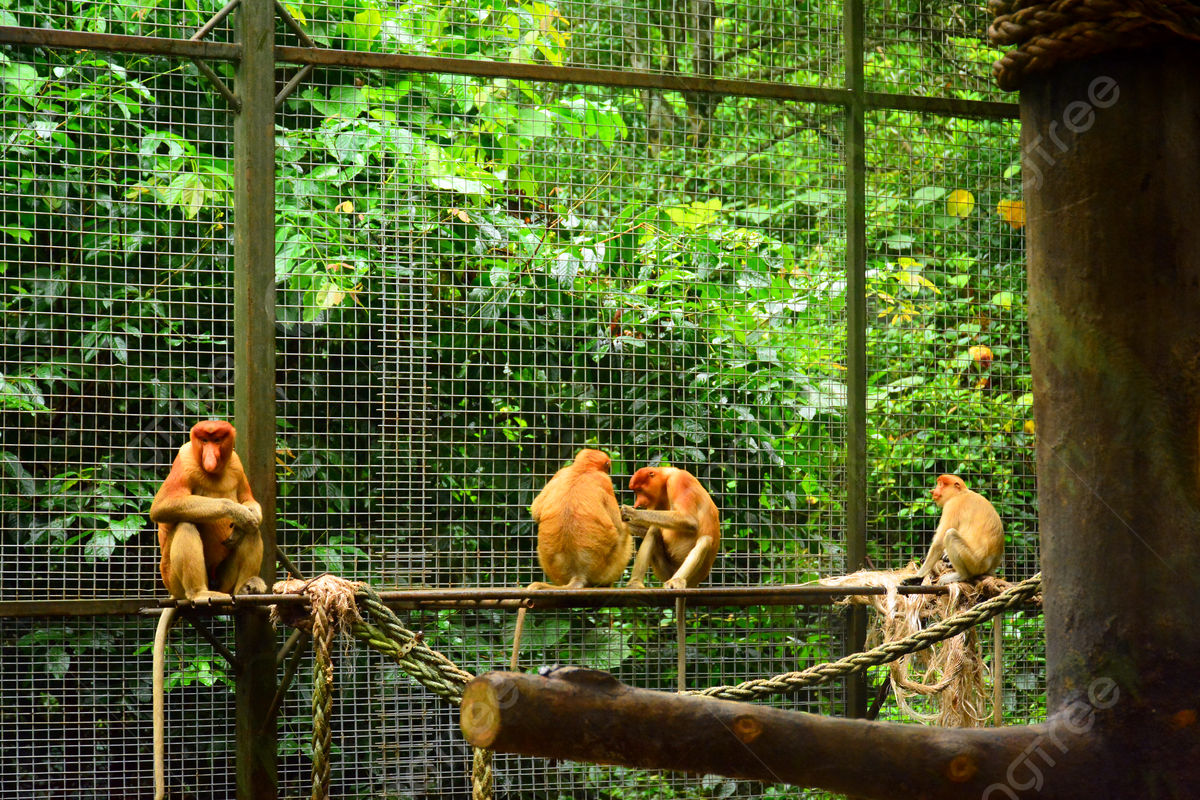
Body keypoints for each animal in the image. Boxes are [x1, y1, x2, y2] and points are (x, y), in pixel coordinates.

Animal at [148, 420, 265, 800]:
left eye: (219, 438)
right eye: (203, 438)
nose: (212, 456)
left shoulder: (237, 462)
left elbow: (250, 502)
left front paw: (247, 513)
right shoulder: (185, 459)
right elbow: (164, 507)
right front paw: (234, 511)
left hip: (224, 577)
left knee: (253, 532)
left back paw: (246, 588)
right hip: (173, 578)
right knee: (185, 523)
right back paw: (201, 594)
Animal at [509, 449, 633, 670]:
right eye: (607, 467)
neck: (582, 470)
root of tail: (578, 573)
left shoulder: (561, 472)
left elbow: (536, 510)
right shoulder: (604, 482)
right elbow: (618, 528)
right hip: (610, 564)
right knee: (625, 536)